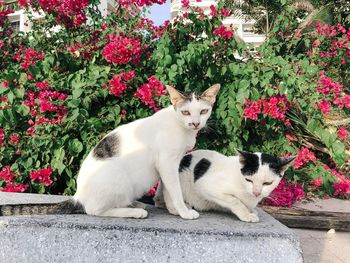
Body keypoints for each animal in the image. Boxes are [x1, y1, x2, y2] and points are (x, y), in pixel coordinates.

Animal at [0, 84, 220, 221]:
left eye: (203, 111)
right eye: (185, 112)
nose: (195, 123)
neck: (180, 126)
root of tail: (78, 196)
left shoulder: (171, 164)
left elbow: (166, 190)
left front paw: (174, 210)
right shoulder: (167, 163)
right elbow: (174, 190)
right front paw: (183, 212)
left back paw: (134, 205)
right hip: (119, 179)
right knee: (94, 211)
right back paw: (134, 212)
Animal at [154, 151, 294, 223]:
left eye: (267, 183)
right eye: (249, 180)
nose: (256, 192)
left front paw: (251, 210)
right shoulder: (205, 185)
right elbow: (235, 201)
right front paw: (246, 214)